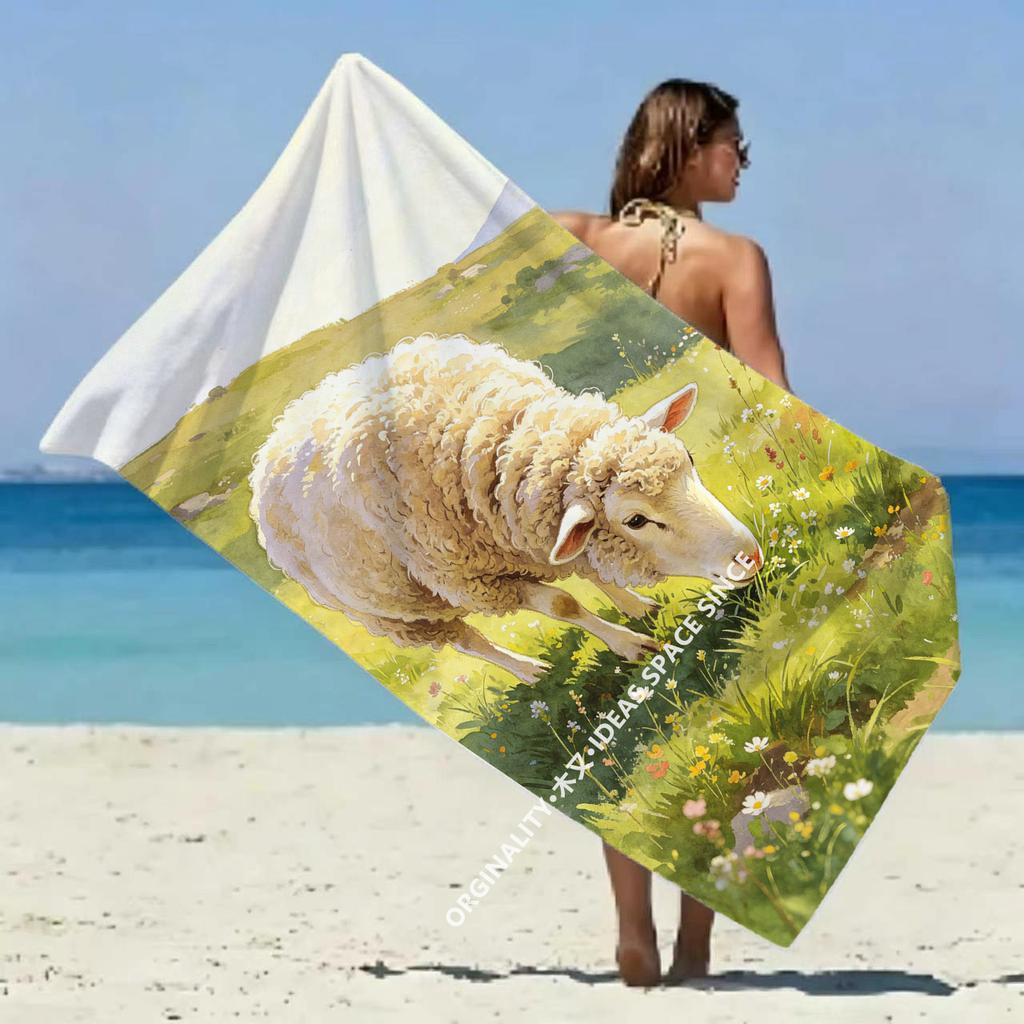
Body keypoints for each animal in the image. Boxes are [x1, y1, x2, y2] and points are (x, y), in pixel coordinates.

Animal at [247, 332, 763, 685]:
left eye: (689, 459)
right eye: (636, 520)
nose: (749, 556)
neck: (490, 440)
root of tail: (277, 433)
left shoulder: (541, 532)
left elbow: (586, 566)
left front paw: (635, 607)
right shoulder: (478, 583)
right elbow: (562, 603)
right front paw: (630, 645)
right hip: (403, 615)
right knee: (465, 640)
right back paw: (529, 670)